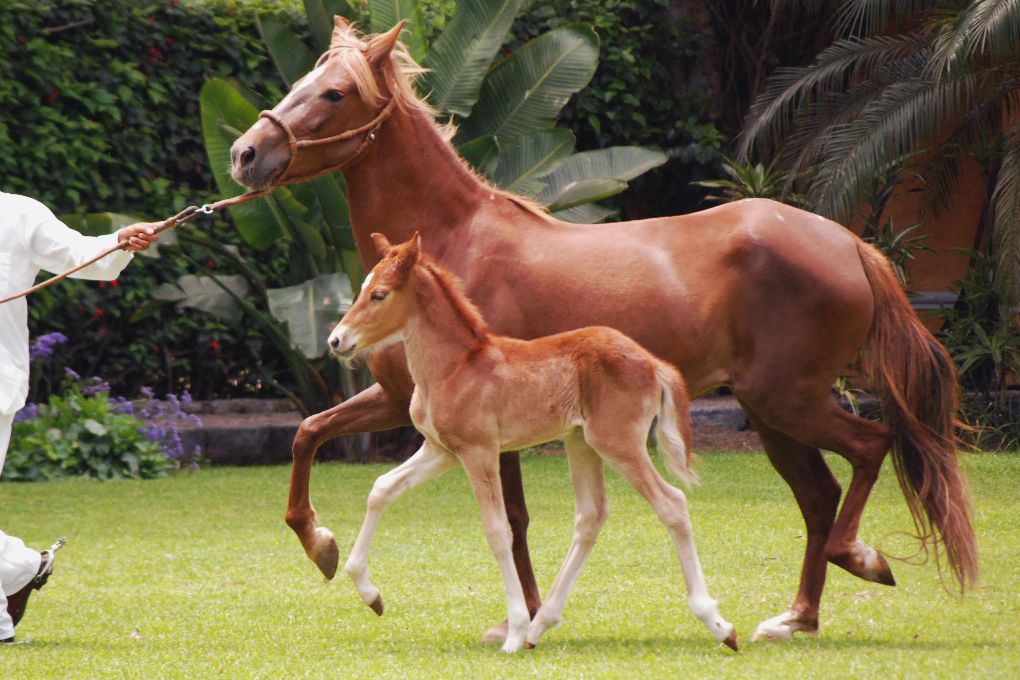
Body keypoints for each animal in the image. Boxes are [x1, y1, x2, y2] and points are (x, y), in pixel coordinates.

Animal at [330, 235, 738, 652]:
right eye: (361, 288)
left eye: (379, 294)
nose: (337, 340)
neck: (455, 368)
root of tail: (654, 364)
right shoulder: (441, 450)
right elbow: (381, 488)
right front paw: (368, 591)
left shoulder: (479, 452)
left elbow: (498, 531)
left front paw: (513, 630)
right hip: (581, 443)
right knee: (591, 516)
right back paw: (541, 626)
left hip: (618, 443)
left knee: (671, 503)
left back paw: (718, 624)